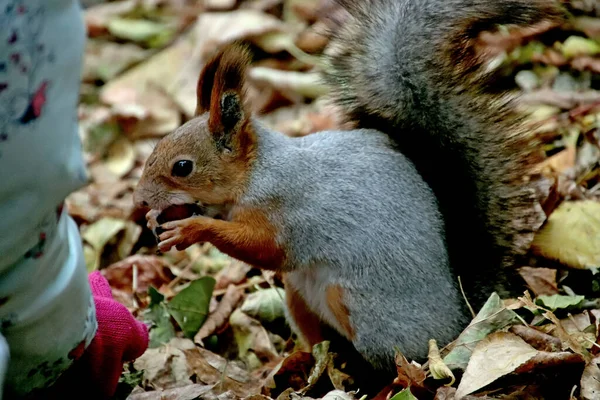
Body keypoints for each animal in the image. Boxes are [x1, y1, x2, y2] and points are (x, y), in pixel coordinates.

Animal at [132, 0, 568, 384]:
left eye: (182, 167)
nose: (139, 201)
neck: (257, 173)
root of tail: (464, 314)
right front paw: (165, 219)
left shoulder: (293, 210)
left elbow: (264, 249)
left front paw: (192, 229)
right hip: (299, 298)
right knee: (323, 342)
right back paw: (307, 365)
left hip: (360, 306)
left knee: (398, 359)